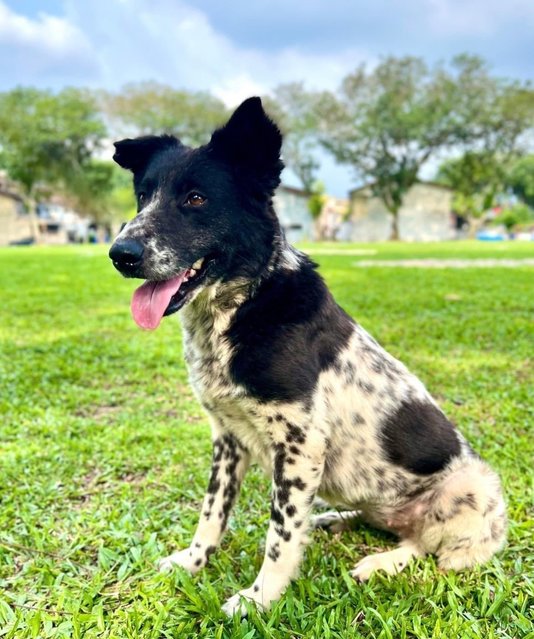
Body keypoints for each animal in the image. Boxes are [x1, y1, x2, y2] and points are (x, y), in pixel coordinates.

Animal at [109, 99, 506, 616]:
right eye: (142, 196)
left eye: (195, 199)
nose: (119, 253)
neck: (242, 306)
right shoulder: (227, 437)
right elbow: (212, 512)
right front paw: (194, 561)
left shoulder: (300, 443)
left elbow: (279, 536)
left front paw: (259, 599)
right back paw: (333, 518)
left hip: (473, 485)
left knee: (423, 544)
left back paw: (382, 562)